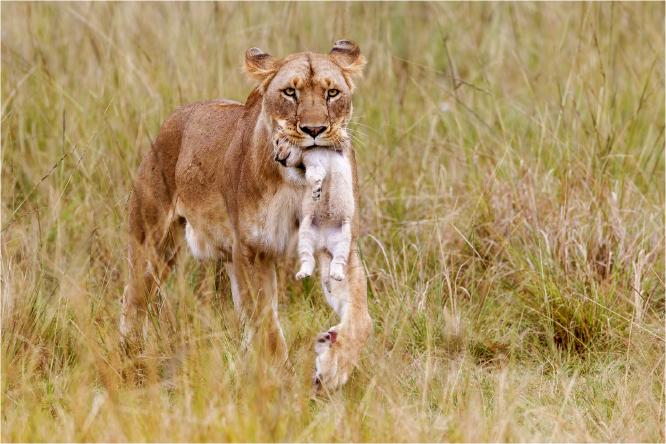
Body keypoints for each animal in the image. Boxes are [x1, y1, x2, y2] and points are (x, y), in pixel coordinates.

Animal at [120, 40, 372, 390]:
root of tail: (177, 116)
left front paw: (333, 366)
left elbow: (361, 317)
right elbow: (268, 326)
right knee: (133, 298)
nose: (314, 130)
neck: (297, 186)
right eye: (290, 93)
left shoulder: (336, 243)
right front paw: (282, 380)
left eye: (332, 93)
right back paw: (130, 356)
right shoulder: (253, 251)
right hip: (153, 242)